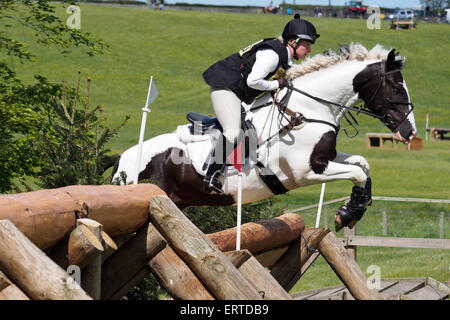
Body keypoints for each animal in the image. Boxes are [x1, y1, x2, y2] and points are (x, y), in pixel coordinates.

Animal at [111, 43, 414, 231]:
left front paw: (352, 208)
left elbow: (363, 164)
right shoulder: (307, 171)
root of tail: (120, 160)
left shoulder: (326, 158)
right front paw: (348, 213)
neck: (306, 109)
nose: (409, 132)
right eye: (397, 87)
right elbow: (358, 172)